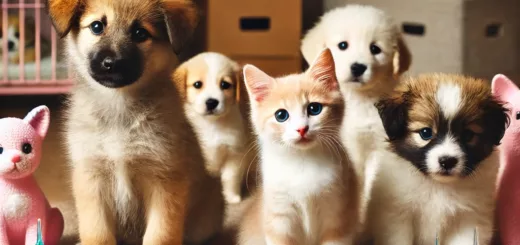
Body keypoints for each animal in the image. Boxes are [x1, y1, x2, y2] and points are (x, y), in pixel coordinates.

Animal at [45, 0, 222, 245]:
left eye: (140, 33)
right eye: (97, 26)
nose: (111, 63)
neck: (119, 106)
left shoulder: (164, 179)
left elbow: (160, 233)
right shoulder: (91, 176)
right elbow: (97, 232)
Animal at [174, 52, 256, 205]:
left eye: (225, 84)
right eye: (197, 84)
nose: (211, 102)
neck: (211, 125)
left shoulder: (234, 154)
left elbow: (230, 178)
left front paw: (232, 197)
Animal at [239, 48, 358, 245]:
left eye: (314, 108)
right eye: (281, 115)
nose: (302, 129)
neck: (303, 161)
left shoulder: (339, 211)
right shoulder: (278, 217)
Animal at [370, 73, 508, 244]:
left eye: (468, 135)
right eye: (425, 133)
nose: (447, 161)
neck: (438, 185)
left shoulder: (470, 217)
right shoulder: (398, 216)